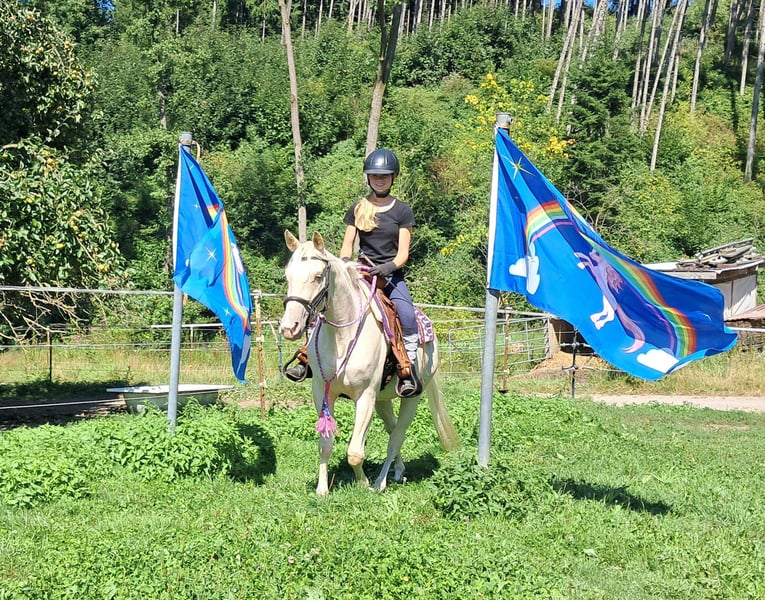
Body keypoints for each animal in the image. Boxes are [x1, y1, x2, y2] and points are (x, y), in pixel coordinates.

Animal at [279, 230, 460, 495]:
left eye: (318, 276)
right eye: (288, 275)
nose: (289, 327)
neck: (342, 337)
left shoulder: (365, 396)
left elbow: (355, 451)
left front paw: (363, 484)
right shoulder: (323, 392)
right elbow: (325, 445)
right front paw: (322, 490)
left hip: (412, 397)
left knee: (397, 437)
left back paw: (380, 481)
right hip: (383, 399)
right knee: (392, 429)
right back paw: (398, 471)